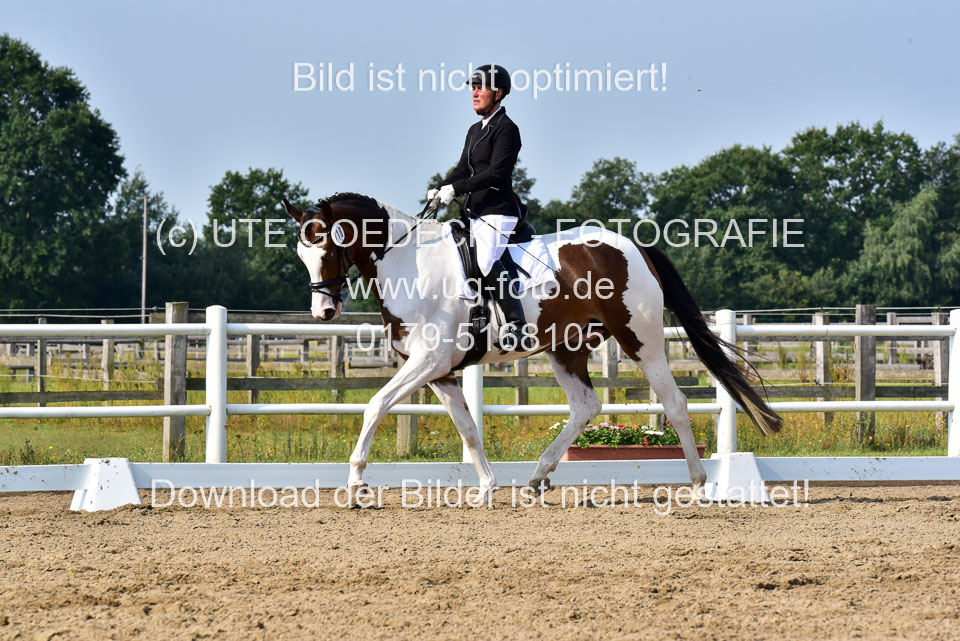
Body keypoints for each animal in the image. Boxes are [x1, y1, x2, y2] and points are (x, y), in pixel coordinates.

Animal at [282, 193, 781, 502]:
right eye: (301, 254)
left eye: (326, 247)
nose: (324, 312)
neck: (409, 262)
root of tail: (635, 246)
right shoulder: (441, 371)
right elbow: (468, 428)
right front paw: (486, 488)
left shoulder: (428, 361)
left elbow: (376, 405)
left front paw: (356, 484)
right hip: (566, 347)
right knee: (586, 406)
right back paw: (538, 477)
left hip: (641, 339)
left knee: (674, 403)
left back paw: (698, 484)